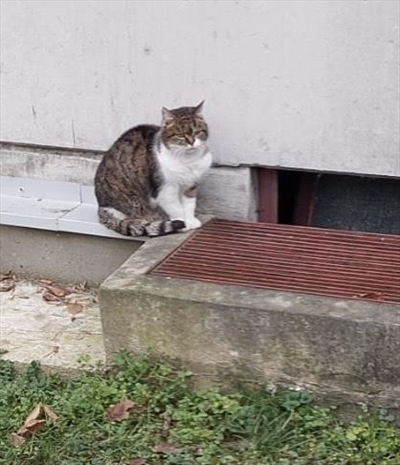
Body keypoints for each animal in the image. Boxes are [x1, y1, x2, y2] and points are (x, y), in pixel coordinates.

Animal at [94, 101, 212, 237]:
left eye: (197, 132)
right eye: (180, 135)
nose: (191, 142)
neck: (188, 160)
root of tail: (101, 207)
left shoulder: (191, 185)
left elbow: (189, 204)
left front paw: (191, 221)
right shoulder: (165, 189)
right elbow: (176, 208)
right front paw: (183, 224)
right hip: (132, 202)